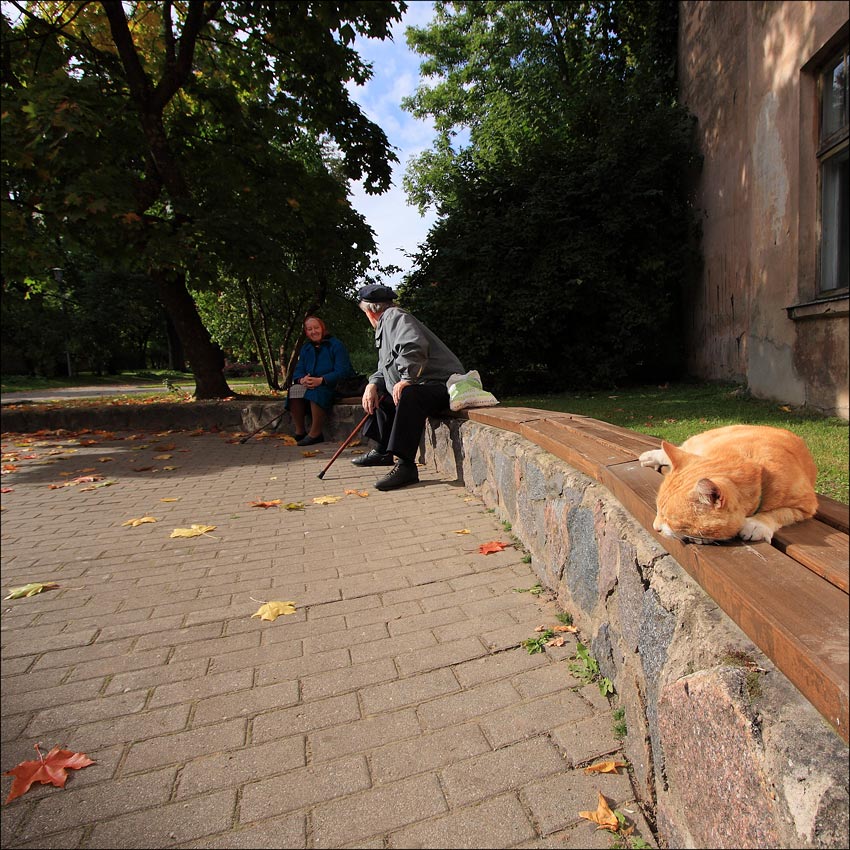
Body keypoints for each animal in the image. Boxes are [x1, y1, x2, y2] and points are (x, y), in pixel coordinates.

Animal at [636, 424, 816, 544]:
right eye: (657, 510)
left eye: (671, 520)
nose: (655, 528)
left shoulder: (806, 507)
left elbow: (779, 513)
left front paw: (757, 524)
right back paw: (650, 456)